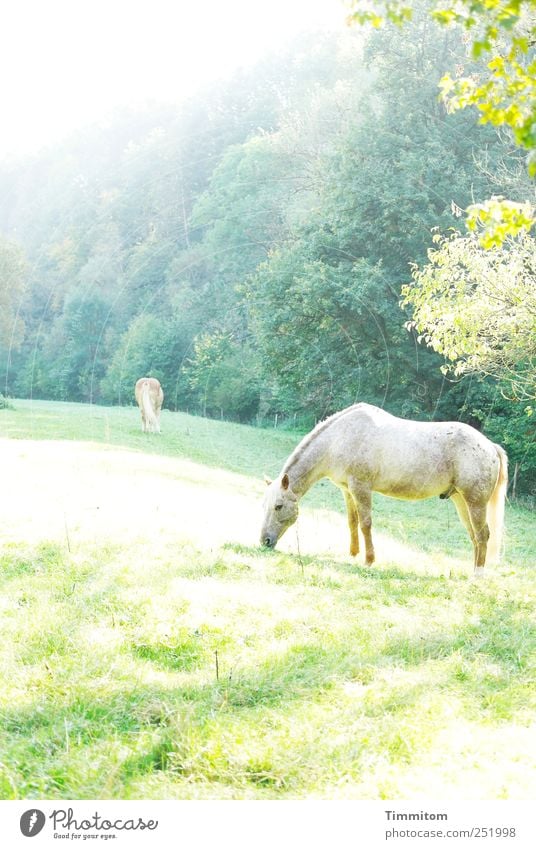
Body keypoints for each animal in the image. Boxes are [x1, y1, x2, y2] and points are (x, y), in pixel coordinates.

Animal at [262, 400, 508, 572]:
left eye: (278, 506)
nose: (264, 541)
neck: (339, 438)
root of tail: (489, 445)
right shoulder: (347, 490)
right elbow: (352, 522)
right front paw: (353, 554)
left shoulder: (361, 488)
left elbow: (366, 524)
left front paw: (369, 560)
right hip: (461, 501)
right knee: (474, 536)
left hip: (475, 503)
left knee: (483, 535)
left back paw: (477, 575)